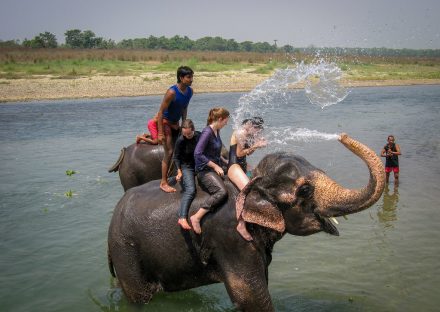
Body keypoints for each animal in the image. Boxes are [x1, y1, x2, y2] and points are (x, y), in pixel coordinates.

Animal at [107, 133, 384, 310]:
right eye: (305, 190)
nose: (342, 135)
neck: (251, 181)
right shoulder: (232, 239)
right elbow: (251, 297)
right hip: (127, 251)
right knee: (141, 296)